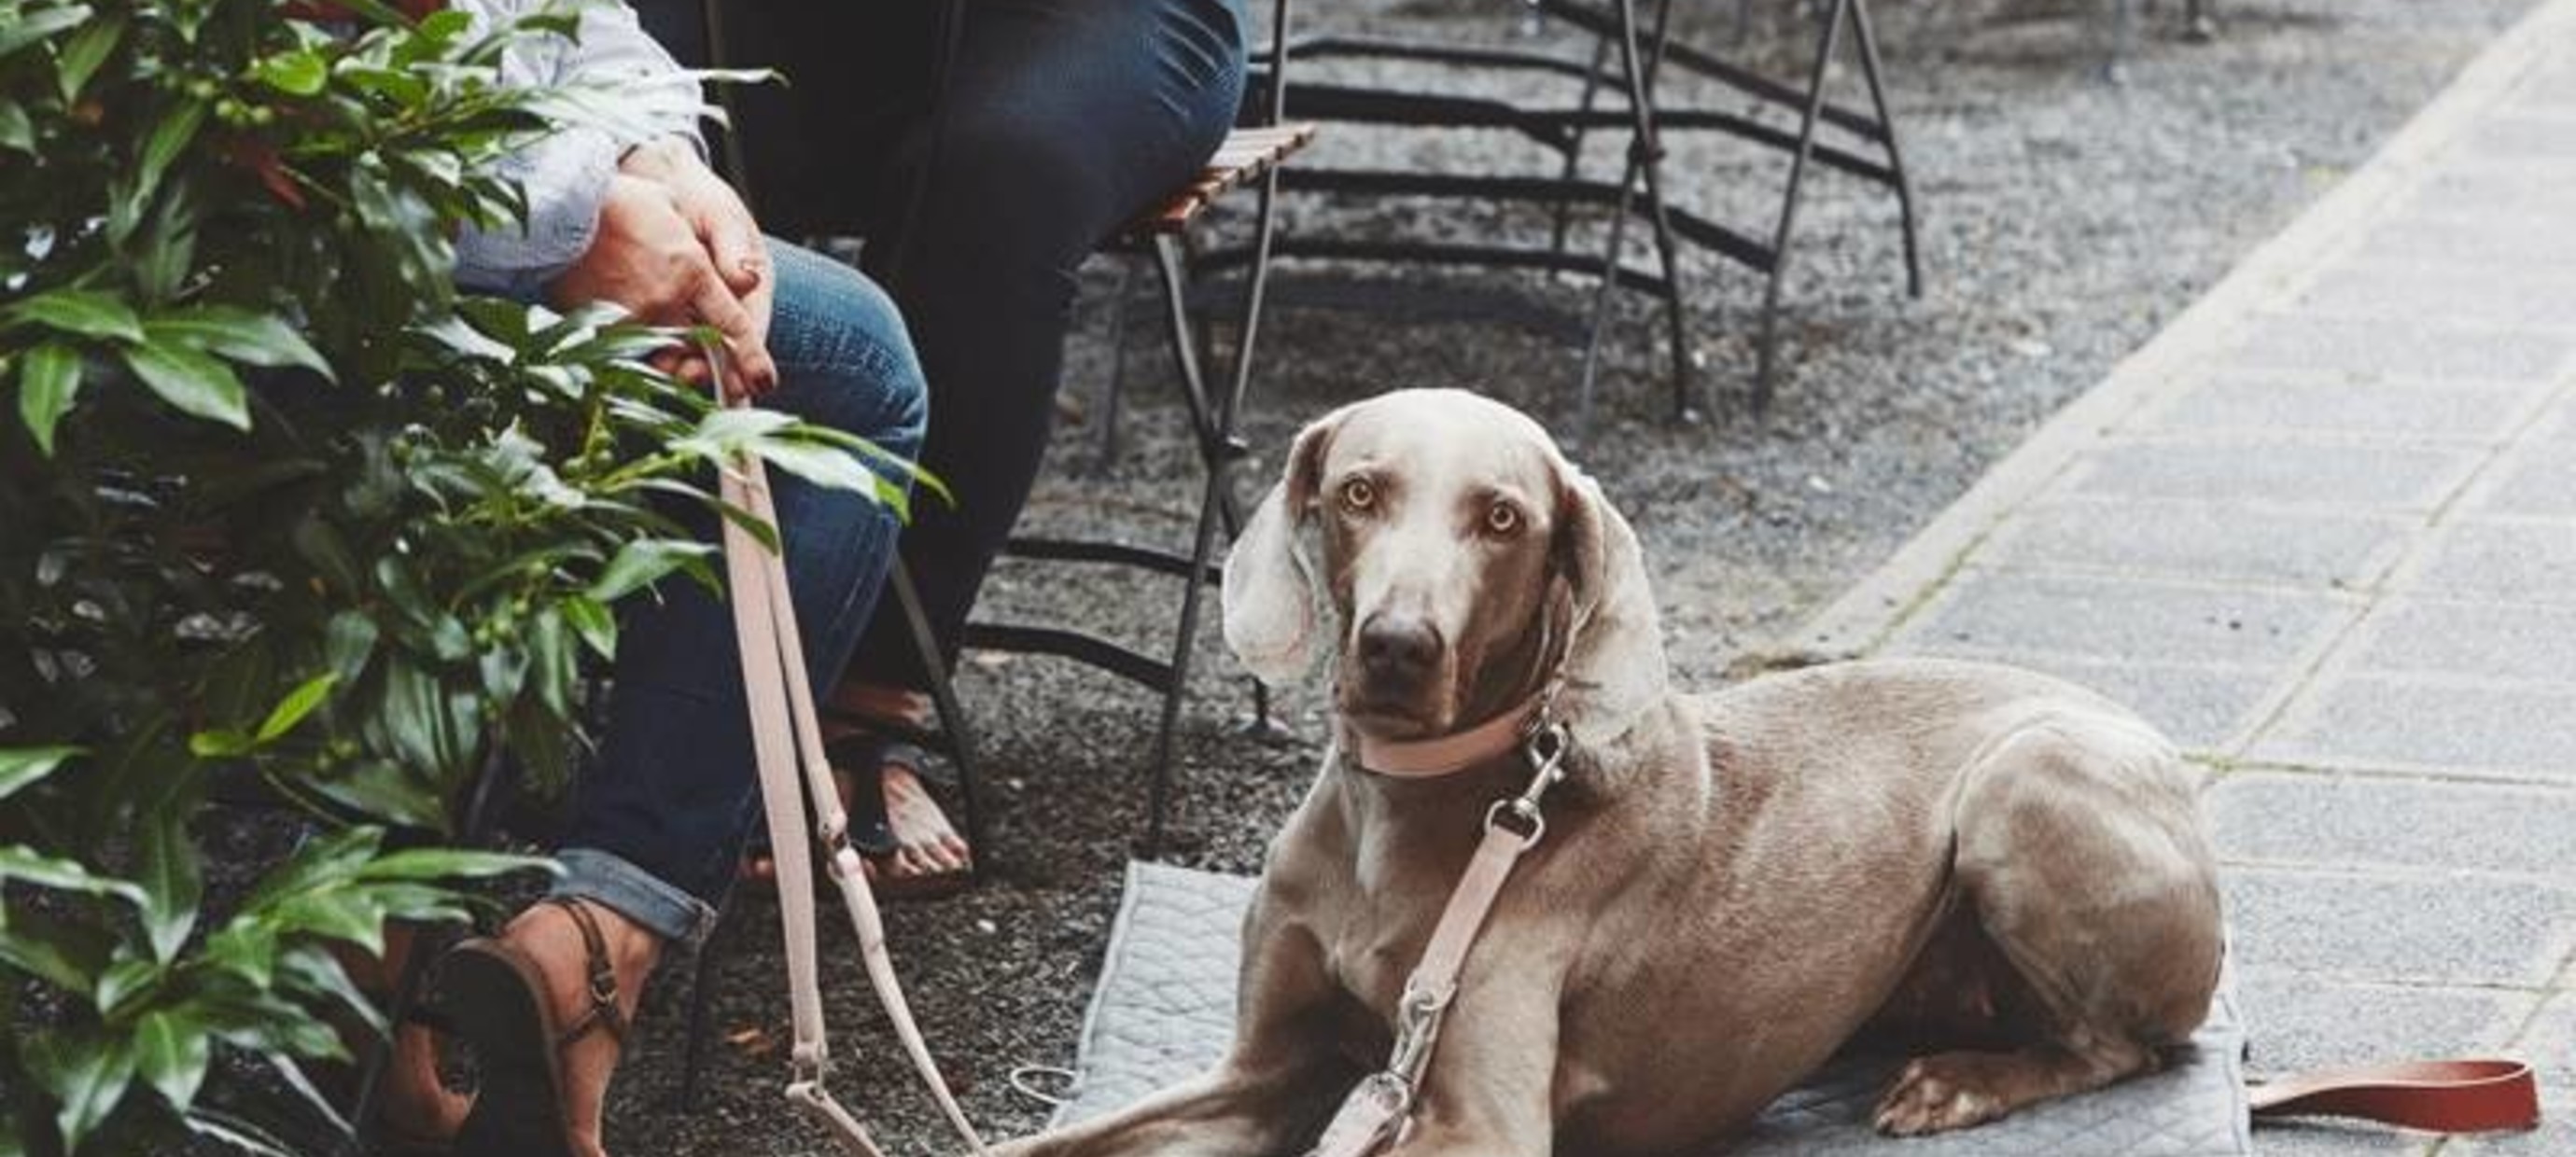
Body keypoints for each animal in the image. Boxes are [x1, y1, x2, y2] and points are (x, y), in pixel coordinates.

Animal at [994, 389, 2225, 1154]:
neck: (1402, 808)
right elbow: (1053, 1141)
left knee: (2128, 1043)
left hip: (2027, 775)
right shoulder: (1253, 1077)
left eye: (1501, 517)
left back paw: (1959, 1081)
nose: (1397, 646)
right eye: (1359, 491)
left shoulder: (1478, 1119)